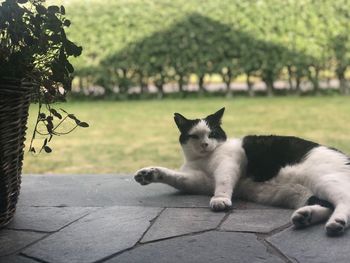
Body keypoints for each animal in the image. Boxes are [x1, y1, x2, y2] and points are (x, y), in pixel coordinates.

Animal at [134, 108, 350, 237]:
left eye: (212, 134)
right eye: (194, 136)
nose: (205, 145)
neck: (203, 159)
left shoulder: (230, 162)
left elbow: (223, 182)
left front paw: (220, 199)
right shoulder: (198, 181)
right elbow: (175, 177)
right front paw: (149, 174)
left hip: (326, 180)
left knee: (344, 201)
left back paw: (336, 222)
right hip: (309, 194)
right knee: (326, 205)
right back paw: (305, 217)